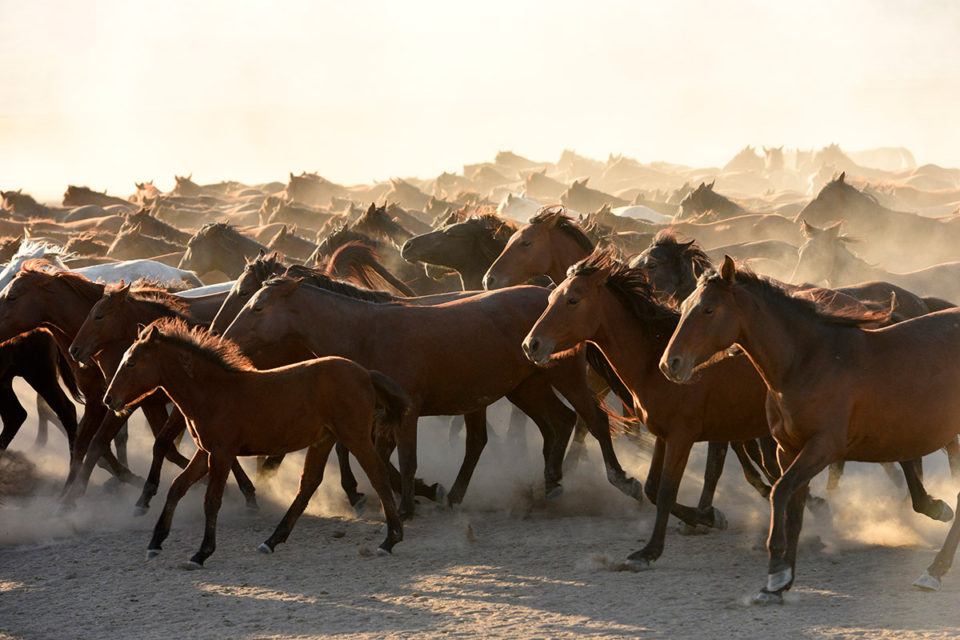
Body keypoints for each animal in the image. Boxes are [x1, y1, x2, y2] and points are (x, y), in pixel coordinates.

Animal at [660, 255, 960, 600]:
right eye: (684, 305)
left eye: (708, 309)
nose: (670, 363)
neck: (806, 361)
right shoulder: (788, 449)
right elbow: (795, 508)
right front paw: (780, 583)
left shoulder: (823, 447)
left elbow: (779, 492)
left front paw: (776, 570)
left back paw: (934, 570)